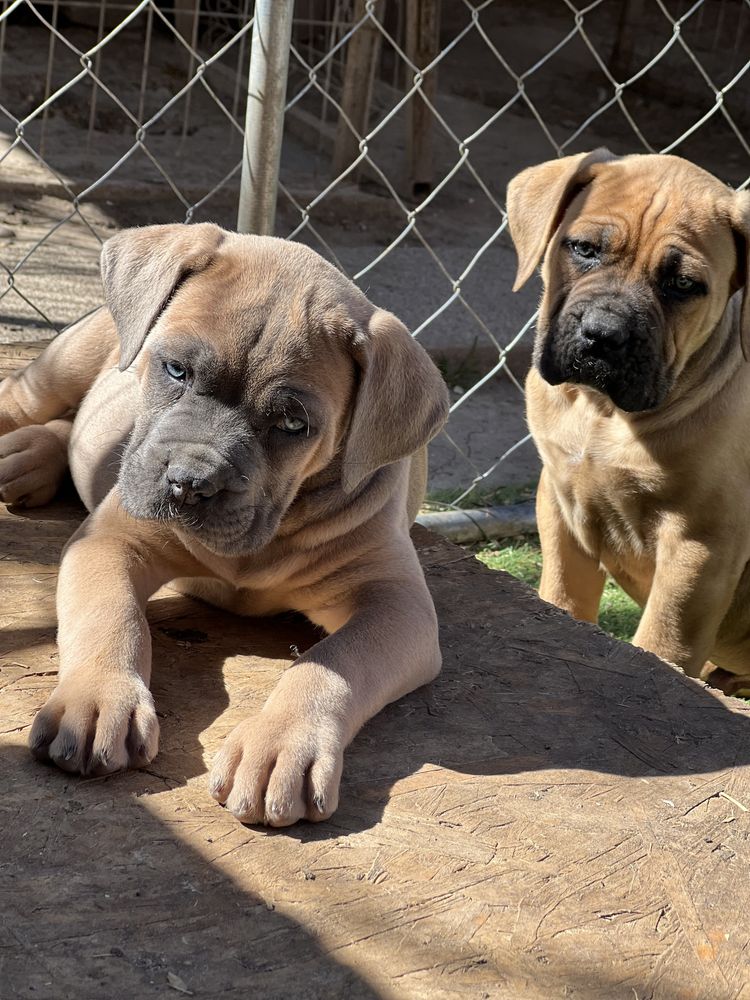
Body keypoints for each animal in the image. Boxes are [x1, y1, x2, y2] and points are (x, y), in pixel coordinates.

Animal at [0, 227, 450, 828]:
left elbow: (331, 664)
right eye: (175, 370)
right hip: (63, 365)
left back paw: (30, 459)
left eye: (292, 424)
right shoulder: (110, 541)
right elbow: (111, 616)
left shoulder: (397, 605)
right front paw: (96, 700)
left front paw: (280, 745)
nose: (190, 483)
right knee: (29, 402)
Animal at [512, 150, 750, 696]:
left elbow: (664, 642)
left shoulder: (699, 546)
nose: (603, 334)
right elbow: (563, 596)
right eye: (583, 249)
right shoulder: (559, 501)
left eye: (683, 286)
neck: (602, 411)